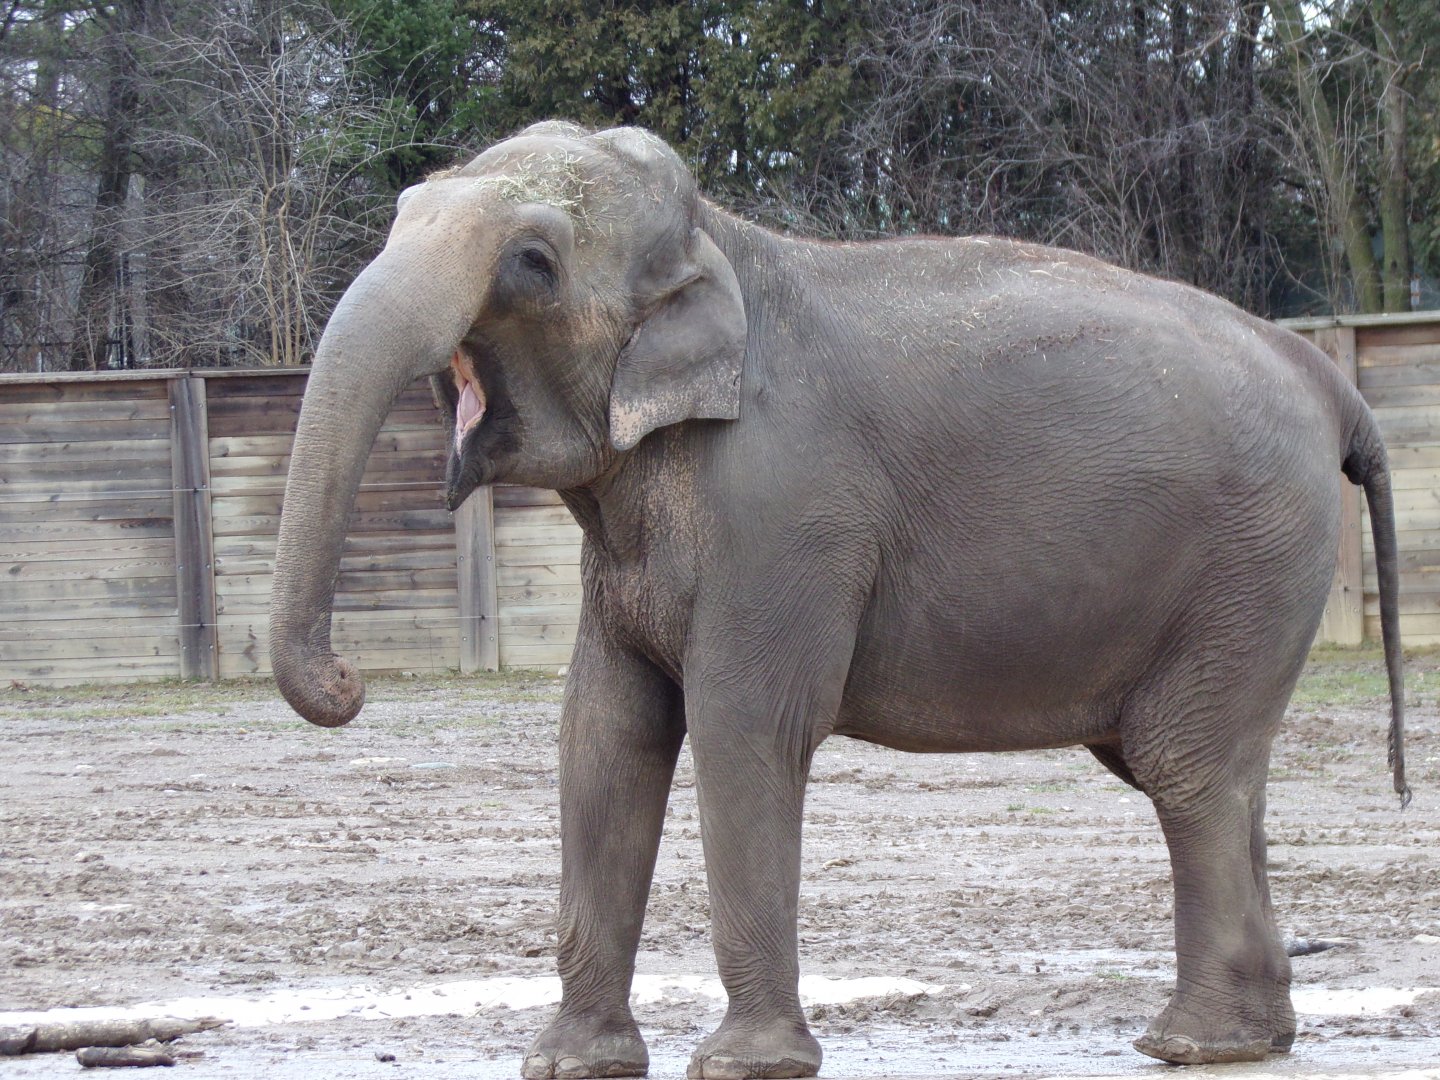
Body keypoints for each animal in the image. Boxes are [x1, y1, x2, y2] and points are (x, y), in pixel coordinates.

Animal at [270, 121, 1410, 1079]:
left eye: (532, 262)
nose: (349, 680)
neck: (724, 242)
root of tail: (1329, 380)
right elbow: (604, 731)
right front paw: (569, 1066)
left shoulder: (783, 509)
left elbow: (744, 725)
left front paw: (745, 1066)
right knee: (1205, 770)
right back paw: (1254, 1038)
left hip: (1250, 558)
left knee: (1186, 767)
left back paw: (1195, 1046)